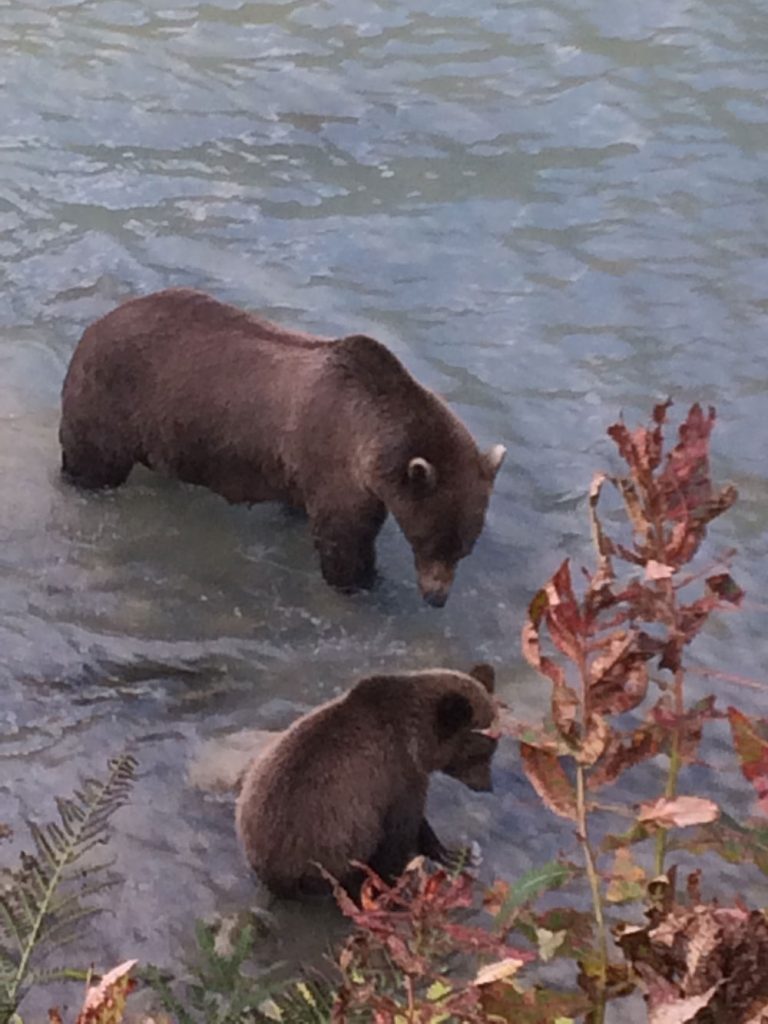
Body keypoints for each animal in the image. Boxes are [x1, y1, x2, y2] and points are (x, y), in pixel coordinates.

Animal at [59, 289, 506, 606]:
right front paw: (366, 583)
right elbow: (344, 543)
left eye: (464, 547)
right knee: (92, 460)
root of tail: (96, 325)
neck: (372, 437)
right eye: (432, 539)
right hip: (112, 399)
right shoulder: (336, 464)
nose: (437, 597)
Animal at [234, 665, 498, 900]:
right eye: (480, 753)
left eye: (493, 748)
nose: (487, 785)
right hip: (327, 840)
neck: (416, 739)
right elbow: (401, 832)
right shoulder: (396, 778)